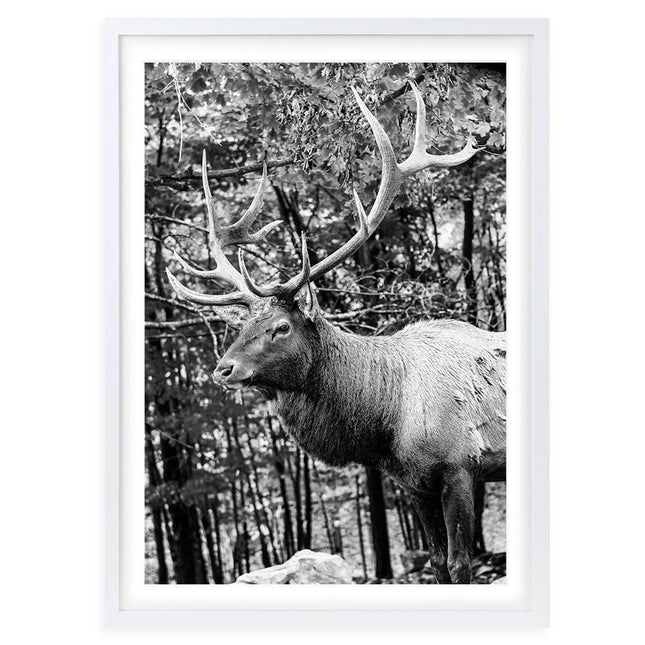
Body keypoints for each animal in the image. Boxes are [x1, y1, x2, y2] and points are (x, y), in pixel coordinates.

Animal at [166, 81, 506, 584]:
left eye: (281, 327)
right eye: (242, 325)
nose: (223, 369)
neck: (386, 423)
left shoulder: (461, 466)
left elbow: (460, 565)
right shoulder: (413, 483)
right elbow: (437, 565)